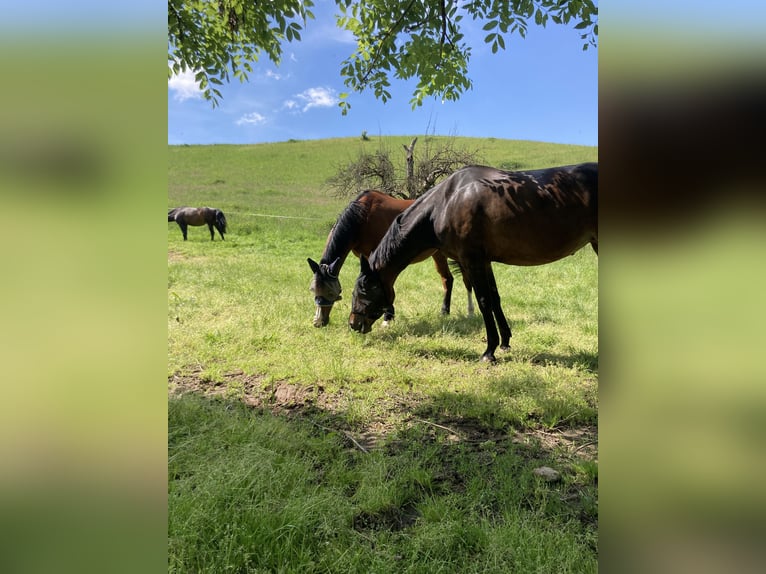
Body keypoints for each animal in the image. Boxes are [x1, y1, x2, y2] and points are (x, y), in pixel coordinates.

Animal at [308, 190, 474, 328]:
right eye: (313, 290)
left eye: (331, 293)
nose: (318, 322)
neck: (363, 217)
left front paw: (387, 318)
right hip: (438, 254)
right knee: (448, 279)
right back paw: (445, 311)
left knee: (465, 279)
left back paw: (470, 311)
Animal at [350, 164, 600, 362]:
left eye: (362, 291)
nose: (353, 324)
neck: (446, 202)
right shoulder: (485, 262)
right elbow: (495, 299)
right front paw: (505, 342)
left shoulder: (473, 261)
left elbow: (483, 302)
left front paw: (489, 351)